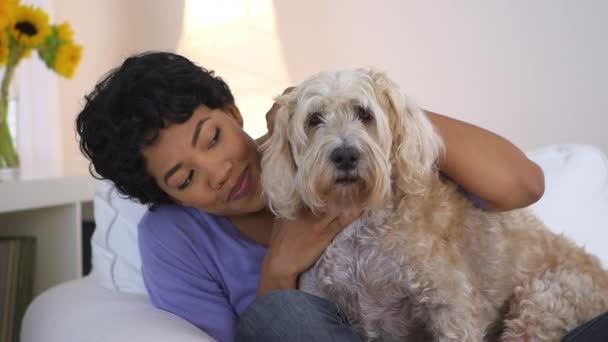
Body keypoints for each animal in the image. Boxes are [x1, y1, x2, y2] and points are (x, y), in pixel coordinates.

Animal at [258, 69, 608, 342]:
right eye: (314, 119)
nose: (345, 155)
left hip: (544, 300)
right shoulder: (320, 297)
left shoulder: (450, 304)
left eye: (364, 113)